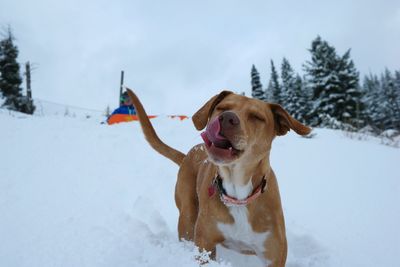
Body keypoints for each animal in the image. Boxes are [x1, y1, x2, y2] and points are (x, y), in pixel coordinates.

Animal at [126, 89, 310, 266]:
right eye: (222, 108)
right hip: (187, 215)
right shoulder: (204, 245)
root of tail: (187, 155)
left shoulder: (274, 255)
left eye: (257, 117)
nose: (227, 117)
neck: (238, 195)